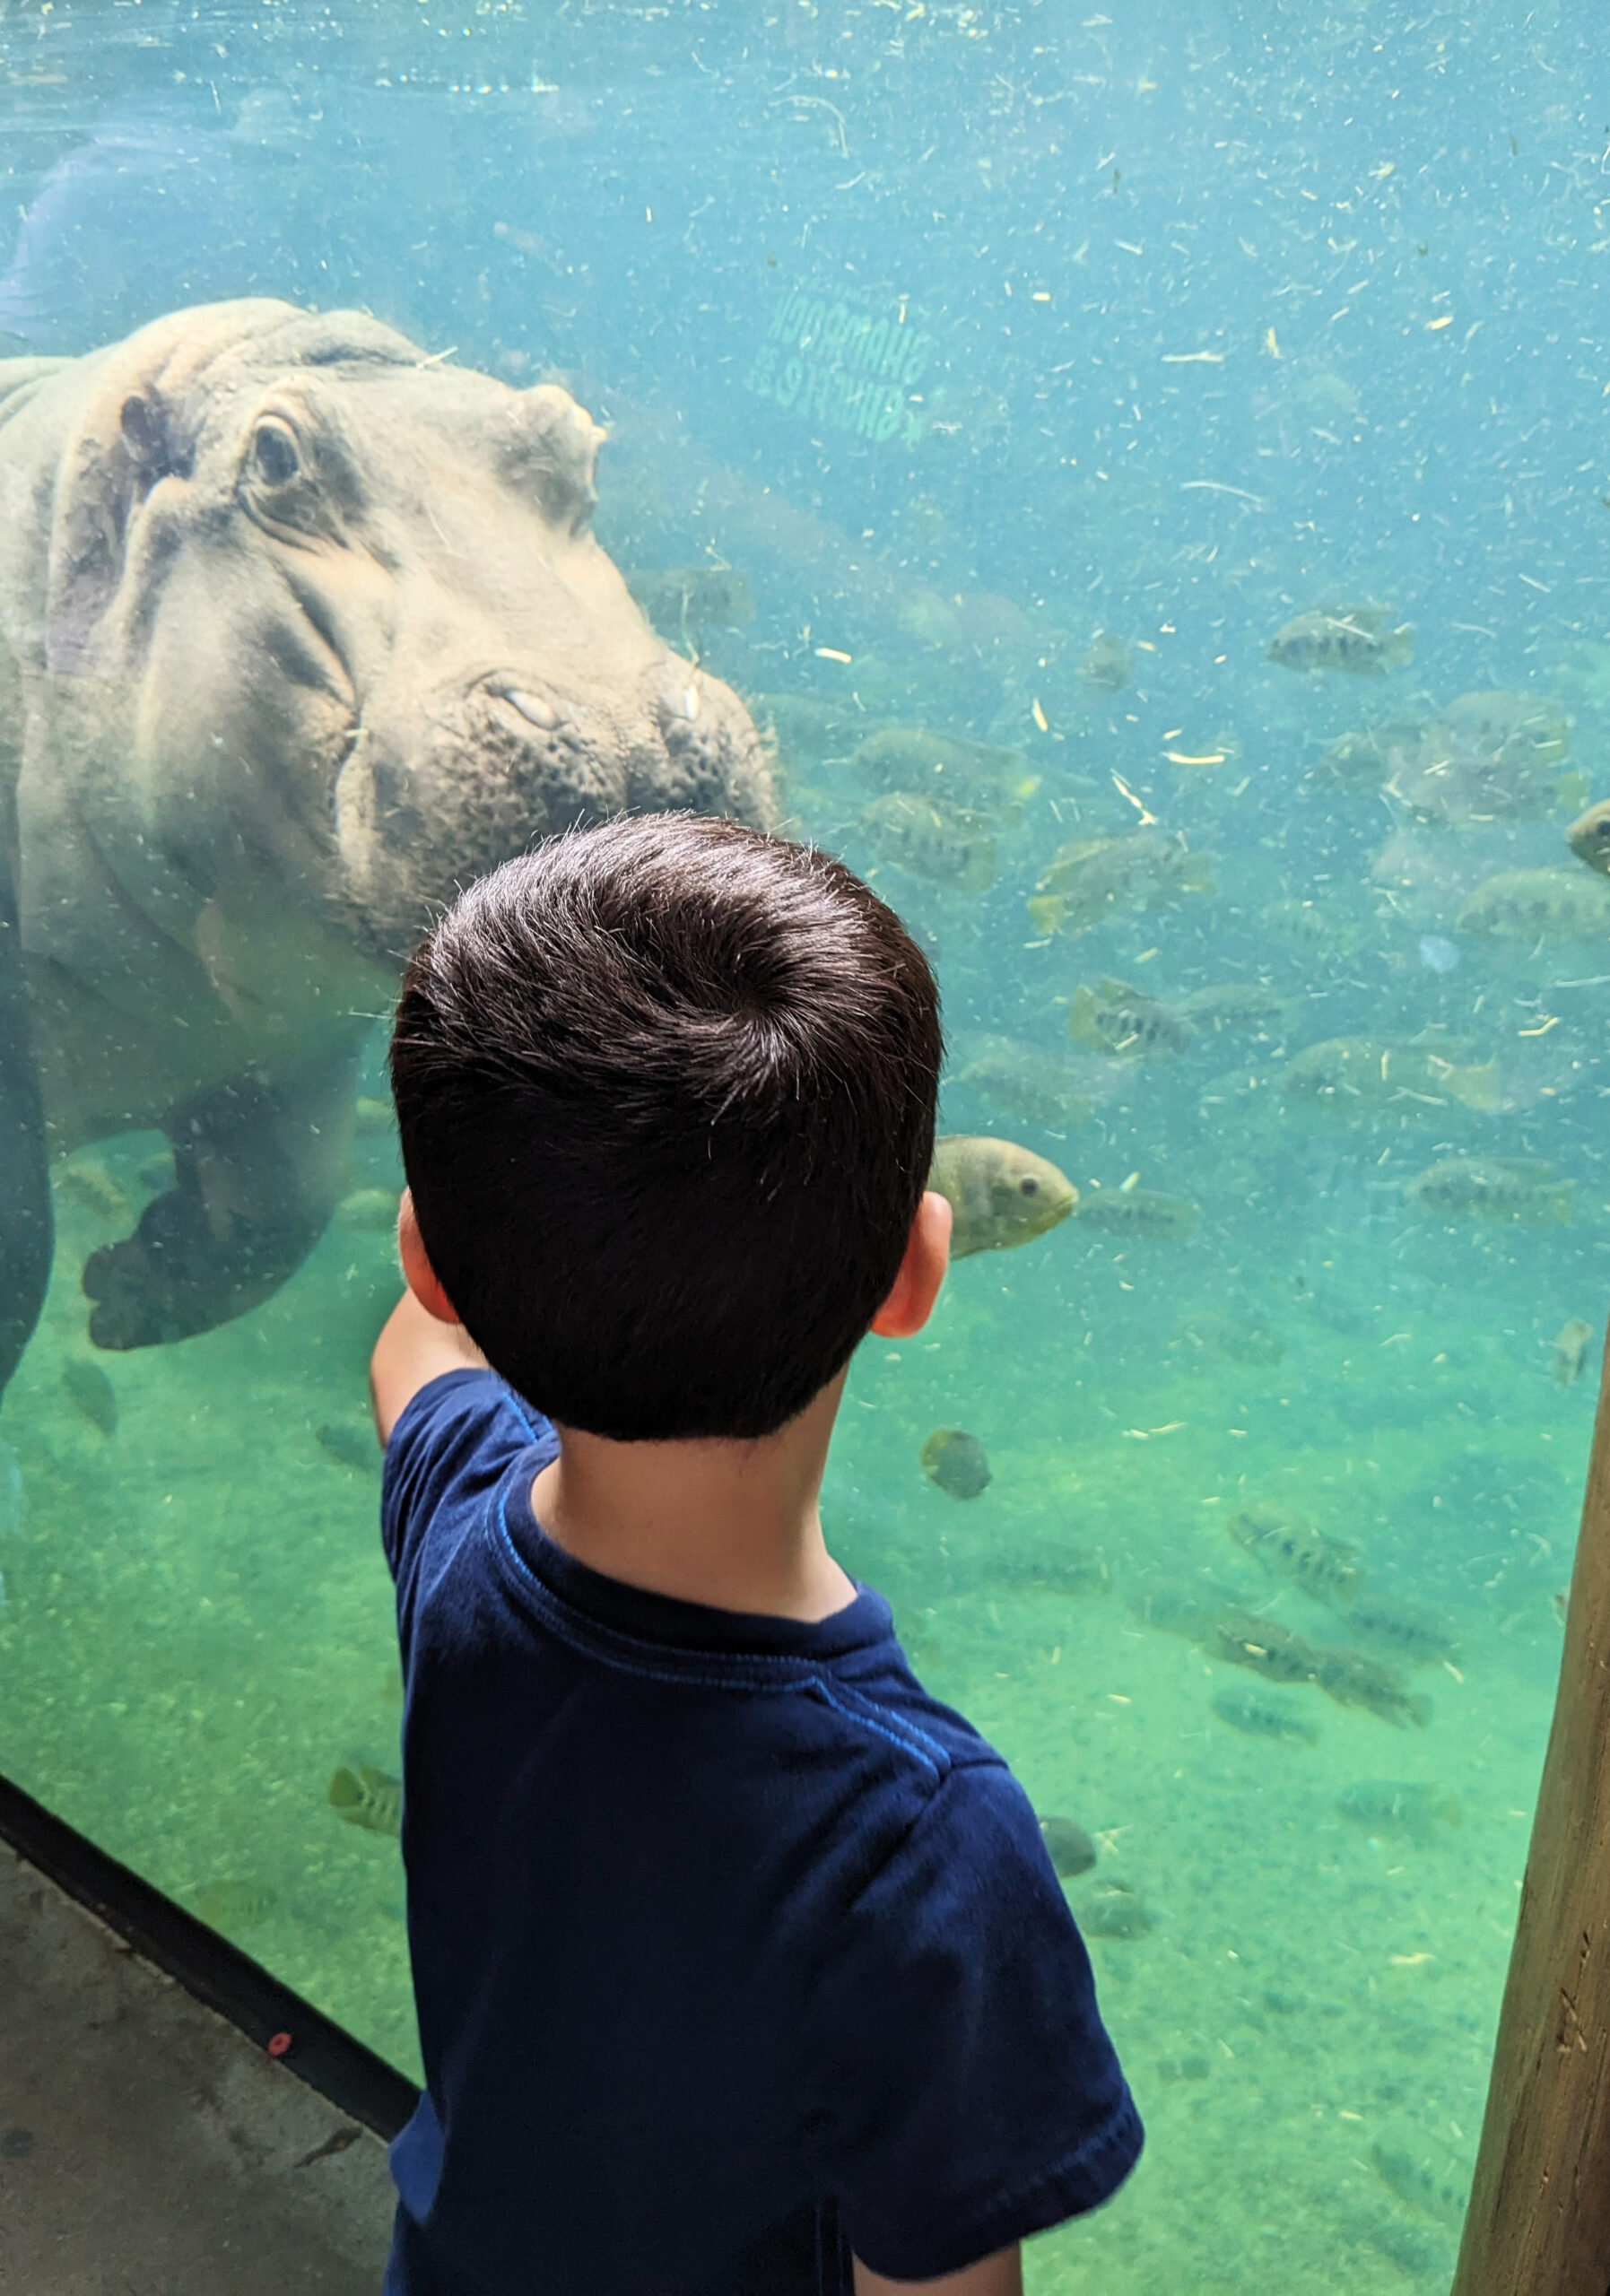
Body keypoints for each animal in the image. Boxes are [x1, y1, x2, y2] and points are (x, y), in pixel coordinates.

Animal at [0, 298, 771, 1387]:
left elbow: (284, 1211)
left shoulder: (290, 1047)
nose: (631, 742)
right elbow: (21, 1251)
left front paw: (127, 1293)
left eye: (576, 444)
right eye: (274, 455)